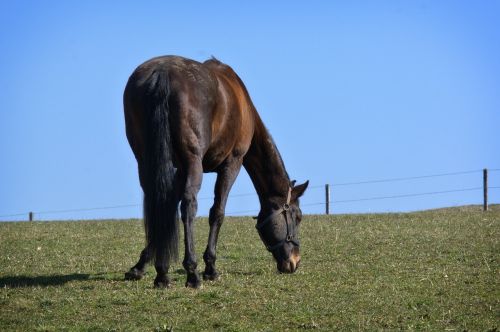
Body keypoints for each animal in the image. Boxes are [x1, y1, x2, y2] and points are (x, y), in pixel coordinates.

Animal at [123, 55, 306, 288]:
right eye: (297, 217)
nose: (295, 261)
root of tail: (162, 74)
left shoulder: (179, 170)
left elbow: (166, 208)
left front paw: (142, 266)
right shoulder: (232, 164)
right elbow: (217, 212)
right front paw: (210, 267)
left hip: (146, 160)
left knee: (156, 202)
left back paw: (162, 274)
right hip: (194, 162)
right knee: (189, 206)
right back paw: (192, 272)